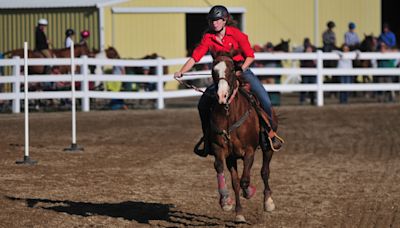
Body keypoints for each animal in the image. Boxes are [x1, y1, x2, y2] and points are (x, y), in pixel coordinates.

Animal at [209, 50, 278, 222]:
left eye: (232, 70)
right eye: (213, 71)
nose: (222, 95)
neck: (229, 115)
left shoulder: (249, 151)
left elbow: (245, 181)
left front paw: (249, 192)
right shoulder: (223, 151)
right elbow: (229, 177)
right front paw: (227, 203)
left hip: (268, 147)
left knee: (264, 171)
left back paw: (268, 202)